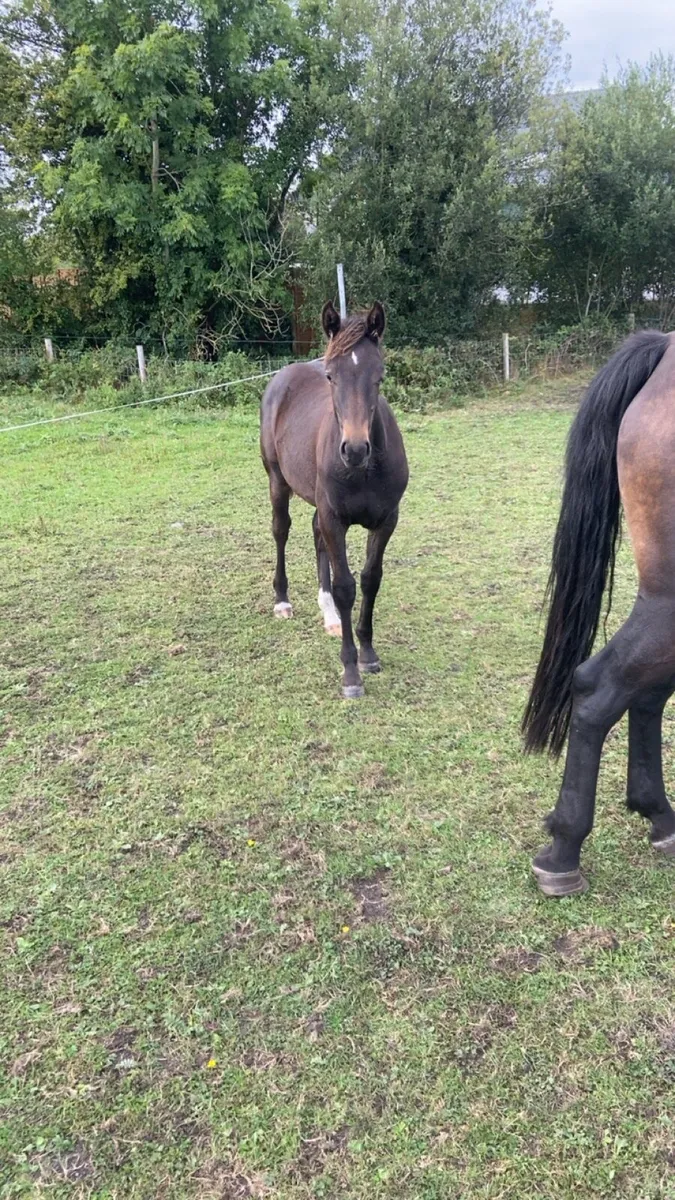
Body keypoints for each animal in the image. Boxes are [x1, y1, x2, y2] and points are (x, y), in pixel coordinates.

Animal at [260, 301, 409, 698]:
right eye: (331, 376)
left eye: (379, 375)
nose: (354, 449)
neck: (364, 471)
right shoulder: (334, 518)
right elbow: (346, 587)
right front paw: (351, 672)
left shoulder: (387, 519)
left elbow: (371, 578)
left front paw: (368, 653)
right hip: (277, 480)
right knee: (281, 530)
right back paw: (282, 601)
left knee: (315, 536)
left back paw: (328, 615)